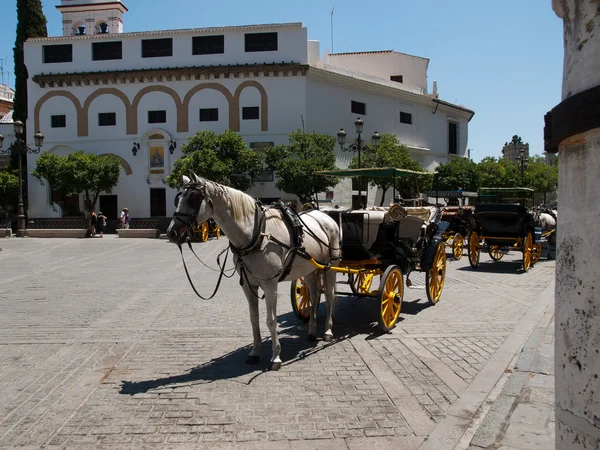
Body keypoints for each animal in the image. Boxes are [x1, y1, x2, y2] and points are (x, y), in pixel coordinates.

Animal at [166, 174, 340, 370]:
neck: (257, 235)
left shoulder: (270, 285)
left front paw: (275, 357)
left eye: (193, 199)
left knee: (330, 295)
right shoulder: (248, 286)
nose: (172, 232)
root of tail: (324, 216)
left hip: (330, 267)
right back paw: (311, 331)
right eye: (178, 198)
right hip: (310, 270)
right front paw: (254, 352)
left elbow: (271, 321)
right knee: (315, 294)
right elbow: (254, 319)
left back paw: (327, 331)